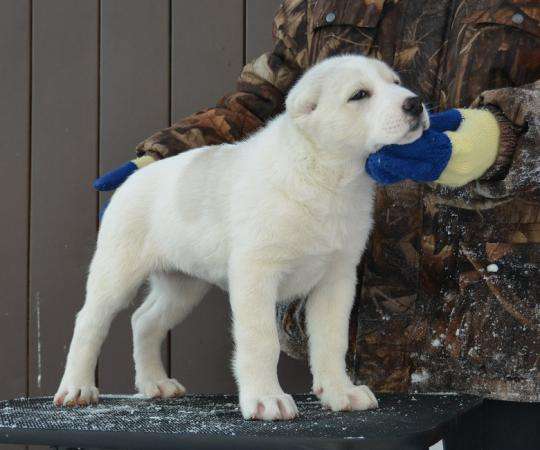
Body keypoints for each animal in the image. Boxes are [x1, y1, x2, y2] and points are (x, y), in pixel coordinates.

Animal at [53, 56, 426, 422]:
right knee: (89, 322)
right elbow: (261, 340)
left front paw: (340, 391)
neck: (327, 177)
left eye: (395, 83)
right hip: (116, 271)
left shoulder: (337, 279)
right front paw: (266, 399)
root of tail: (132, 178)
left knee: (144, 321)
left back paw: (154, 383)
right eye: (359, 95)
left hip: (182, 286)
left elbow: (331, 340)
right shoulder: (255, 273)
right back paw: (77, 387)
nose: (416, 103)